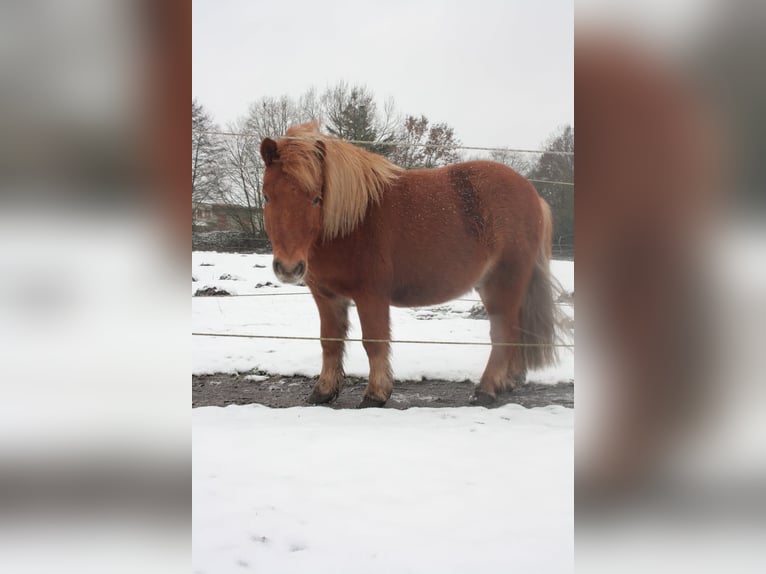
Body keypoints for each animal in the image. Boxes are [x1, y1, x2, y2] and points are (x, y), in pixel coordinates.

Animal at [260, 121, 560, 410]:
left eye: (315, 198)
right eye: (266, 197)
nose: (288, 268)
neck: (353, 221)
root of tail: (533, 195)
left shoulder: (371, 296)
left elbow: (374, 342)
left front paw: (376, 395)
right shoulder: (327, 296)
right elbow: (330, 342)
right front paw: (323, 392)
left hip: (503, 283)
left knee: (503, 333)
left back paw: (486, 391)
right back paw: (507, 383)